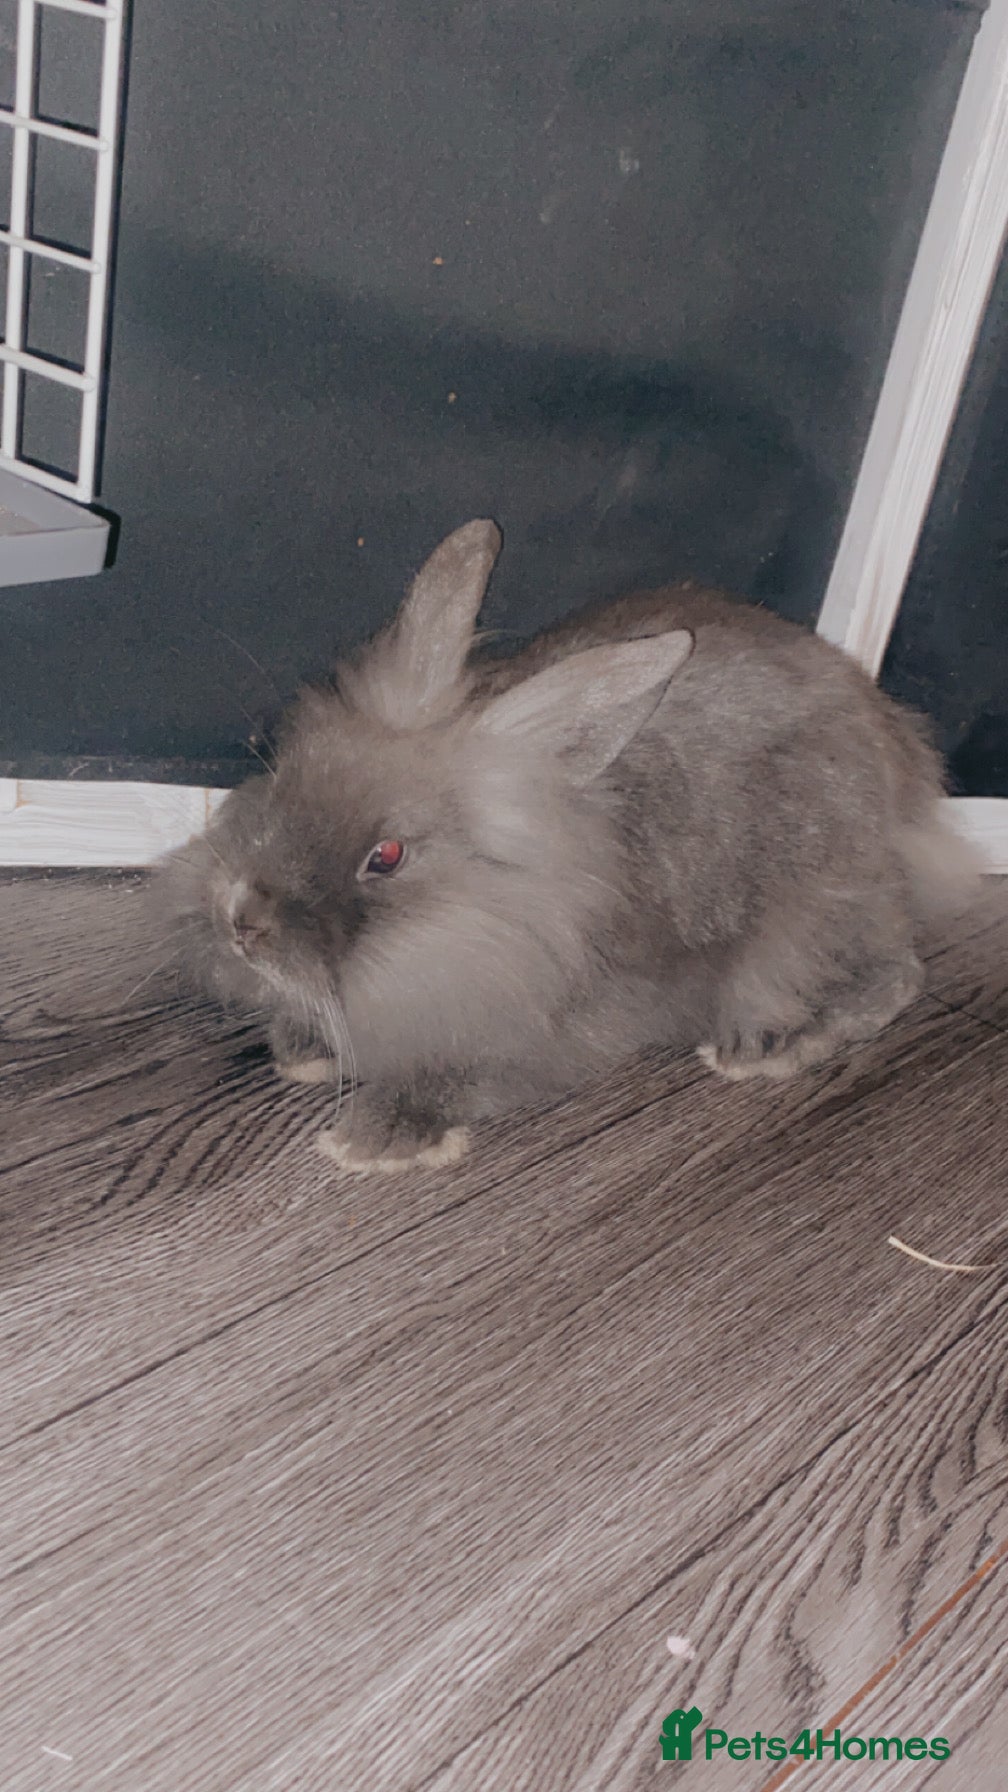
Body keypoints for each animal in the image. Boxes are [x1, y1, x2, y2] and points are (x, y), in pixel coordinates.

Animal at [156, 519, 979, 1173]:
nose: (241, 923)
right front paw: (303, 1049)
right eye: (283, 772)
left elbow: (469, 1072)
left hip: (814, 907)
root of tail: (899, 759)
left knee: (896, 974)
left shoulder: (548, 1031)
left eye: (385, 857)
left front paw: (377, 1141)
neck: (474, 914)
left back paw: (768, 1049)